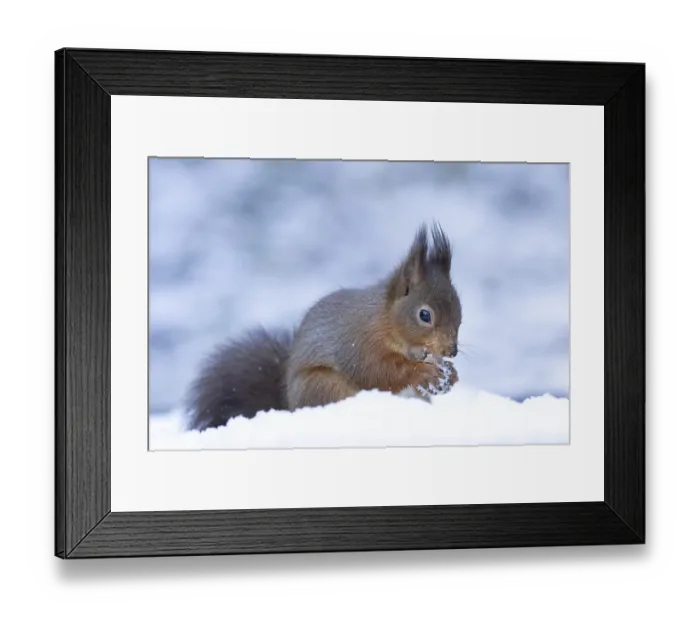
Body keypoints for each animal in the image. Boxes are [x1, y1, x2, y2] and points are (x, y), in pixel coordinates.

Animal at [185, 222, 463, 431]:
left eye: (460, 310)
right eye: (424, 315)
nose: (452, 351)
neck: (386, 321)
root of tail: (290, 407)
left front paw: (450, 375)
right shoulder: (361, 343)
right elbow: (379, 371)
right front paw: (423, 372)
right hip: (324, 386)